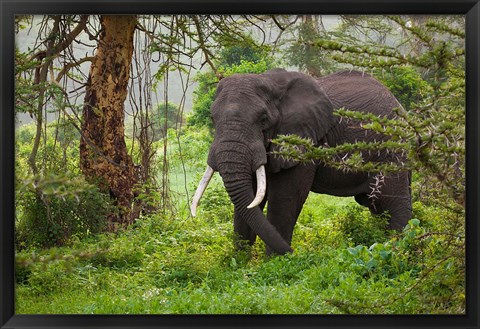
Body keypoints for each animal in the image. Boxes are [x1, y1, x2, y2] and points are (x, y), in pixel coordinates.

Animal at [191, 68, 412, 254]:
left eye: (263, 120)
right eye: (212, 119)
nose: (295, 253)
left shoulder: (303, 140)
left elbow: (285, 197)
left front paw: (275, 263)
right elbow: (249, 196)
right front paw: (240, 264)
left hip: (391, 149)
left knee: (394, 203)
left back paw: (397, 248)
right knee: (377, 207)